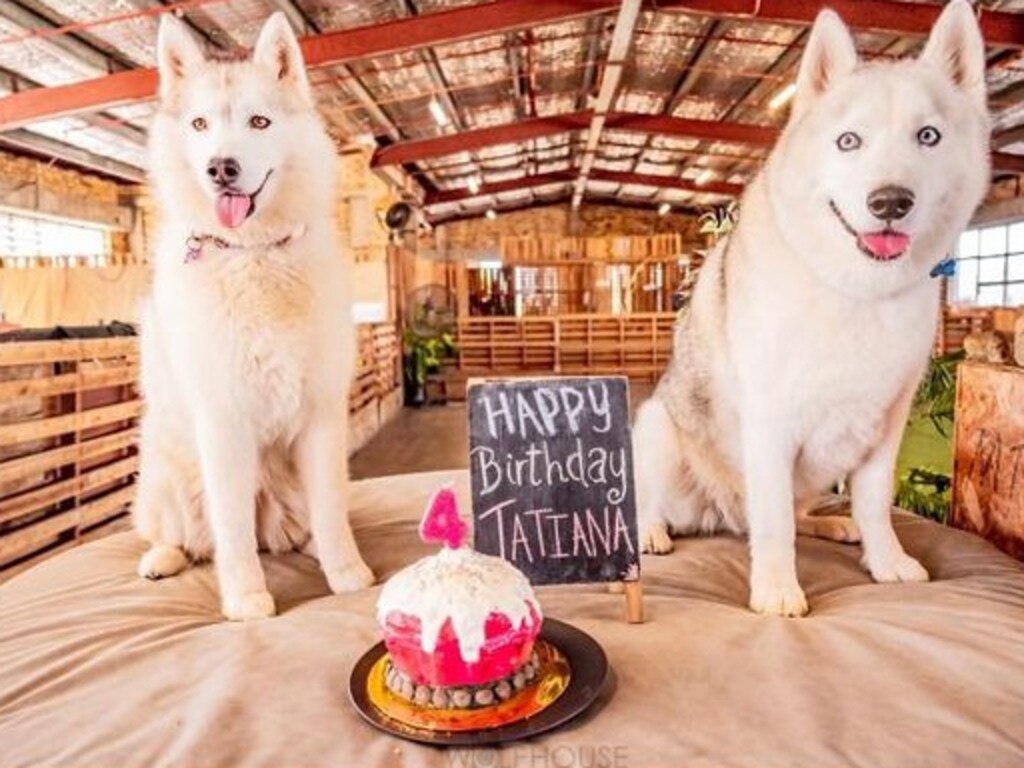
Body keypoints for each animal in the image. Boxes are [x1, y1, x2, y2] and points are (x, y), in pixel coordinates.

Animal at [134, 15, 374, 622]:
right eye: (199, 124)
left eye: (259, 121)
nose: (222, 167)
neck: (255, 254)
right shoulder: (223, 424)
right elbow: (233, 529)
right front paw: (245, 600)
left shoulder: (322, 418)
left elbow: (331, 509)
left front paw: (346, 574)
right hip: (166, 471)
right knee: (187, 535)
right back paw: (163, 558)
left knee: (303, 523)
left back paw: (307, 544)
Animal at [634, 0, 987, 618]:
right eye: (849, 141)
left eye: (928, 136)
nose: (890, 202)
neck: (855, 290)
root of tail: (723, 517)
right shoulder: (771, 425)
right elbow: (774, 522)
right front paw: (777, 589)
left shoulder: (887, 429)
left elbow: (873, 504)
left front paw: (885, 560)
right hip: (656, 430)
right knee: (658, 507)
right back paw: (652, 531)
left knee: (795, 514)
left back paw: (832, 525)